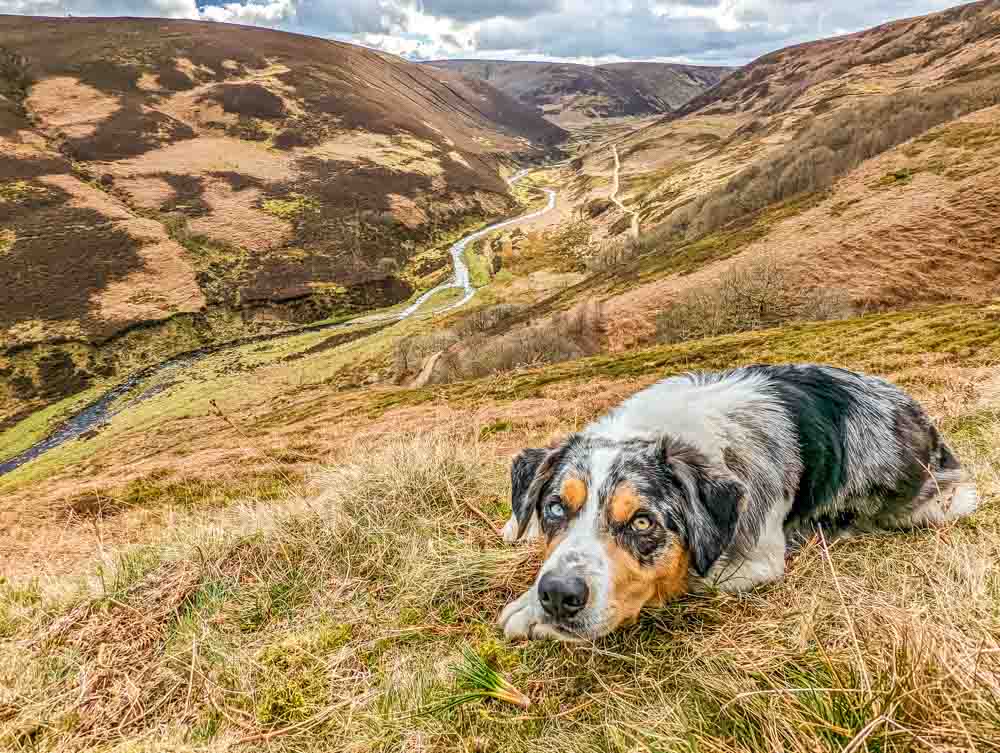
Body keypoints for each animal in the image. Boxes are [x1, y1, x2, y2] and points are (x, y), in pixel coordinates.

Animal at [498, 364, 976, 640]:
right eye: (555, 508)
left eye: (642, 523)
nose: (558, 595)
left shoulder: (756, 560)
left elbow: (684, 576)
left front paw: (530, 614)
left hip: (940, 501)